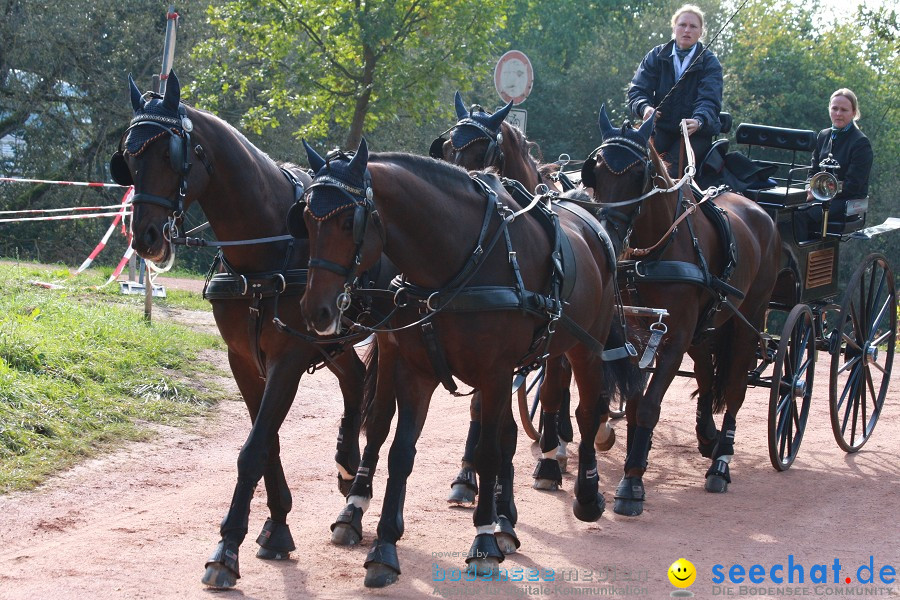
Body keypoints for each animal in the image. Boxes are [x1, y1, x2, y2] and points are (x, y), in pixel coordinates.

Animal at [110, 72, 376, 588]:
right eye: (129, 156)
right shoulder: (244, 359)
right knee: (356, 383)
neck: (269, 248)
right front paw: (276, 526)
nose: (145, 237)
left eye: (171, 154)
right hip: (332, 343)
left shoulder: (288, 359)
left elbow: (253, 449)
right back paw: (346, 466)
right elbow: (266, 440)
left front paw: (227, 547)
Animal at [298, 139, 624, 584]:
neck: (458, 262)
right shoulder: (416, 370)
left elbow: (488, 451)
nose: (317, 311)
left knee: (587, 411)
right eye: (306, 220)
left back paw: (584, 495)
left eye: (351, 222)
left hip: (585, 347)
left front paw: (483, 539)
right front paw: (384, 546)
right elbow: (400, 449)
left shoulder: (495, 372)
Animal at [584, 105, 780, 512]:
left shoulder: (672, 340)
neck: (658, 250)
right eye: (596, 169)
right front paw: (634, 459)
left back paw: (721, 463)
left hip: (747, 321)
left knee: (735, 388)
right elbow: (634, 401)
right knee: (706, 374)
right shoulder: (637, 335)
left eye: (638, 174)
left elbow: (648, 406)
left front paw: (632, 483)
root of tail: (756, 208)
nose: (607, 234)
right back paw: (707, 436)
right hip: (706, 328)